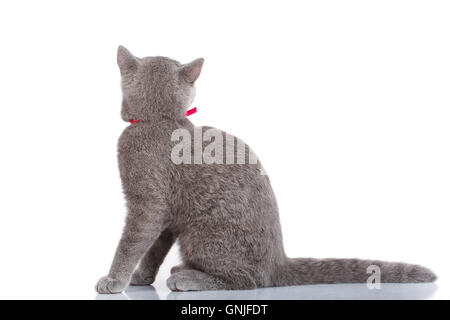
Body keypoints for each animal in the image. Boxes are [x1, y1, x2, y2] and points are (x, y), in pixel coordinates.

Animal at [95, 46, 436, 294]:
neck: (161, 121)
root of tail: (278, 261)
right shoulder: (167, 215)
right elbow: (153, 249)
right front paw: (141, 277)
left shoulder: (148, 206)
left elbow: (131, 243)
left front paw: (114, 280)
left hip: (202, 233)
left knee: (247, 280)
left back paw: (190, 278)